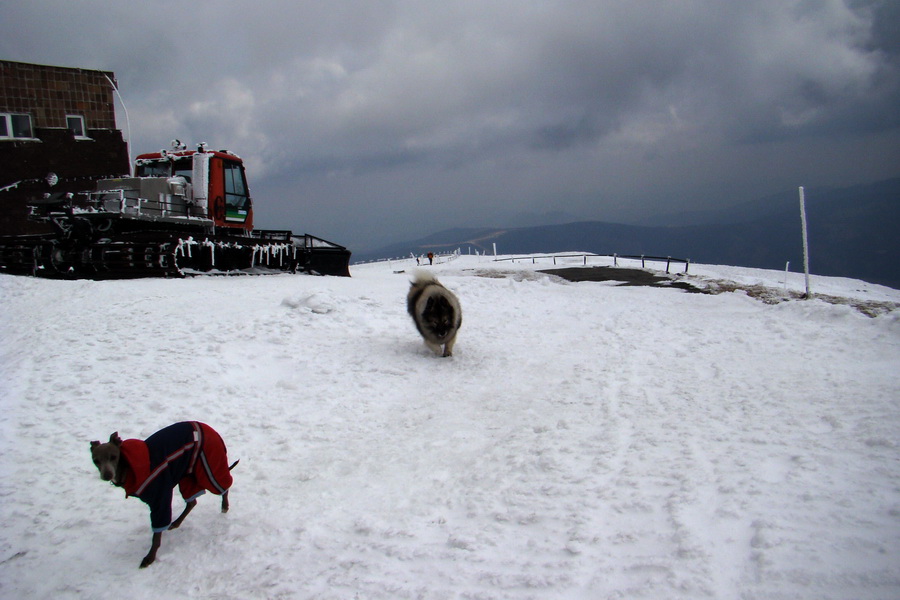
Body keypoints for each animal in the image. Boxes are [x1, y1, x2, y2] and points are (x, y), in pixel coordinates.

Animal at [90, 422, 237, 568]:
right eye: (96, 460)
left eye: (113, 456)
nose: (107, 475)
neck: (129, 469)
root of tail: (211, 429)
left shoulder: (160, 498)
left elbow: (156, 535)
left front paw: (150, 557)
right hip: (188, 474)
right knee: (192, 502)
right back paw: (176, 522)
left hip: (208, 467)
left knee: (223, 486)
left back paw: (225, 506)